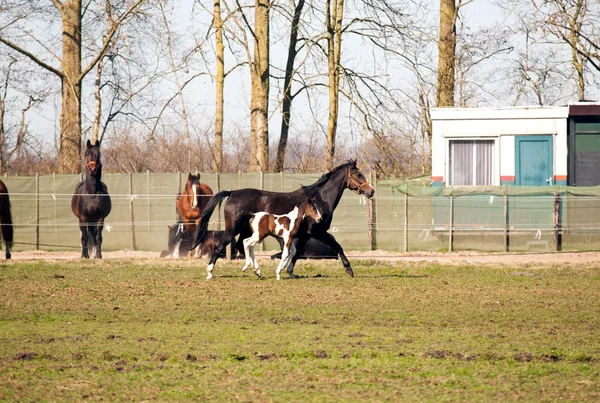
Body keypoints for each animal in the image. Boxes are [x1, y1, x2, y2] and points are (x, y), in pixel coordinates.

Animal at [191, 159, 376, 280]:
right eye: (358, 174)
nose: (371, 191)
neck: (319, 199)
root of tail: (231, 193)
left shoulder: (305, 234)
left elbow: (297, 253)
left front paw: (290, 271)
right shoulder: (318, 231)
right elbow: (337, 245)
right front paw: (349, 269)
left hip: (247, 231)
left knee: (241, 246)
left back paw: (257, 270)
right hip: (232, 230)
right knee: (221, 247)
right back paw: (210, 273)